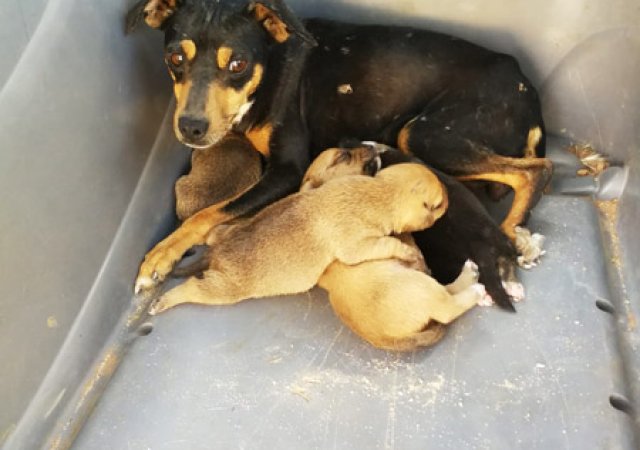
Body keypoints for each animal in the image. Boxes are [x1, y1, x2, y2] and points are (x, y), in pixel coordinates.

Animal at [127, 0, 552, 293]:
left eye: (238, 65)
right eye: (174, 57)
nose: (191, 128)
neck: (271, 67)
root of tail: (527, 89)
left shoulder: (287, 171)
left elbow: (208, 213)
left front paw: (160, 255)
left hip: (428, 134)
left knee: (538, 171)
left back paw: (511, 235)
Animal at [148, 162, 447, 314]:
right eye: (439, 204)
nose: (450, 197)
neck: (378, 191)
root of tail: (216, 253)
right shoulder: (357, 242)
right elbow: (384, 245)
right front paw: (409, 252)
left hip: (223, 235)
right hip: (223, 290)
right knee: (191, 289)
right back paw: (162, 302)